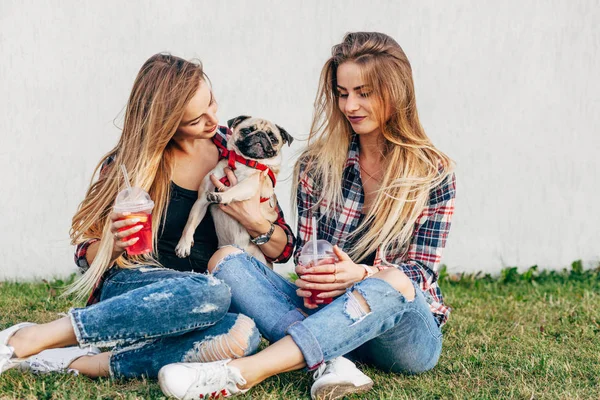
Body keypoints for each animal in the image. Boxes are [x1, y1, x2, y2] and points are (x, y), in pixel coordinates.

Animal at [175, 115, 294, 266]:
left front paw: (221, 195)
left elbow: (234, 189)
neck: (244, 161)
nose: (260, 134)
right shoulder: (201, 200)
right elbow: (190, 223)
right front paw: (183, 244)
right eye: (247, 130)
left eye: (273, 139)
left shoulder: (249, 184)